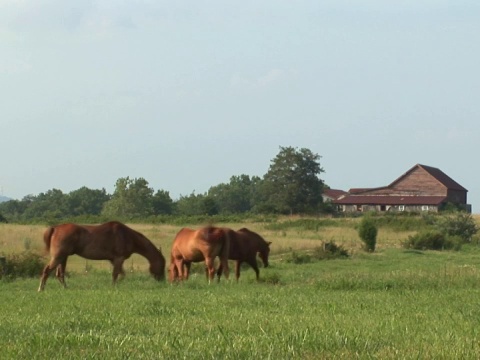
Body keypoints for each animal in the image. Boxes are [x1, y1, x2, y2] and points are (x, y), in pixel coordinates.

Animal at [37, 221, 166, 292]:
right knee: (47, 271)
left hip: (63, 258)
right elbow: (116, 274)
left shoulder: (115, 260)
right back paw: (41, 289)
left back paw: (65, 288)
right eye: (163, 265)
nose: (162, 280)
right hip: (58, 257)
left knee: (60, 274)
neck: (127, 236)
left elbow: (121, 274)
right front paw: (113, 286)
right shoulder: (118, 259)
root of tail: (55, 228)